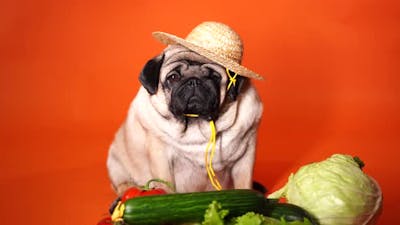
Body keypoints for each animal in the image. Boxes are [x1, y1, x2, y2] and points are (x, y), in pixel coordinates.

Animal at [106, 44, 264, 195]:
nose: (194, 81)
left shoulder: (246, 157)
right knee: (121, 183)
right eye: (173, 77)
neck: (196, 126)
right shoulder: (162, 159)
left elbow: (244, 184)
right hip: (115, 163)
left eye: (214, 77)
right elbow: (166, 185)